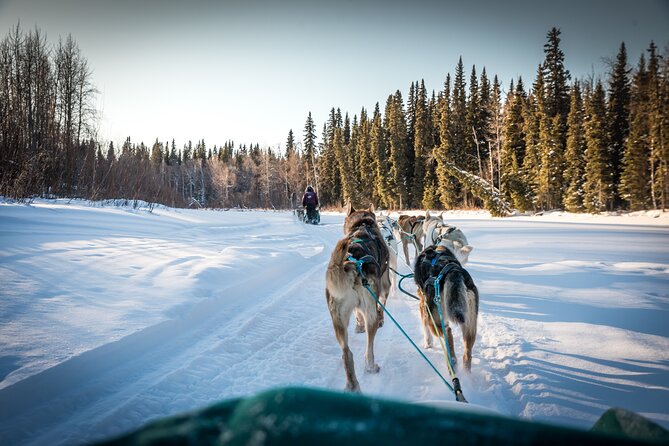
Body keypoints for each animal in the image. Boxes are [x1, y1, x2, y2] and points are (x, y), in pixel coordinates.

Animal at [324, 204, 388, 392]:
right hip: (370, 313)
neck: (362, 224)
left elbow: (356, 314)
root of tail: (350, 263)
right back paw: (371, 367)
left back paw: (352, 385)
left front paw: (358, 326)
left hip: (337, 320)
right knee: (369, 348)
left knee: (347, 353)